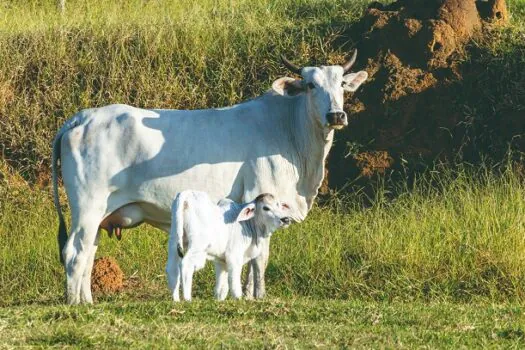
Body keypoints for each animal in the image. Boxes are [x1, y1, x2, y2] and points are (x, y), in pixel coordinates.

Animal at [51, 52, 366, 304]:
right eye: (311, 85)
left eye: (341, 84)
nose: (336, 115)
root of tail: (83, 117)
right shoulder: (261, 198)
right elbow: (260, 257)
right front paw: (256, 296)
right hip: (88, 207)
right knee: (74, 253)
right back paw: (75, 303)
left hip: (100, 214)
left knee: (88, 253)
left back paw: (87, 300)